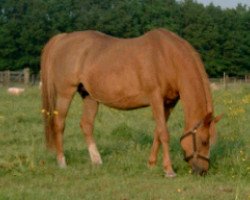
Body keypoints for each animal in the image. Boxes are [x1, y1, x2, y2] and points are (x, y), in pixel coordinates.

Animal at [41, 28, 221, 177]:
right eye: (204, 141)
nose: (202, 171)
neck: (167, 57)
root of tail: (63, 38)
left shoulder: (169, 103)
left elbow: (157, 132)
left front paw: (151, 164)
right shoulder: (155, 99)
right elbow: (164, 133)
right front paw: (169, 170)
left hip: (89, 96)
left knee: (86, 125)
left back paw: (97, 161)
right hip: (65, 93)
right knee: (59, 123)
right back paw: (62, 162)